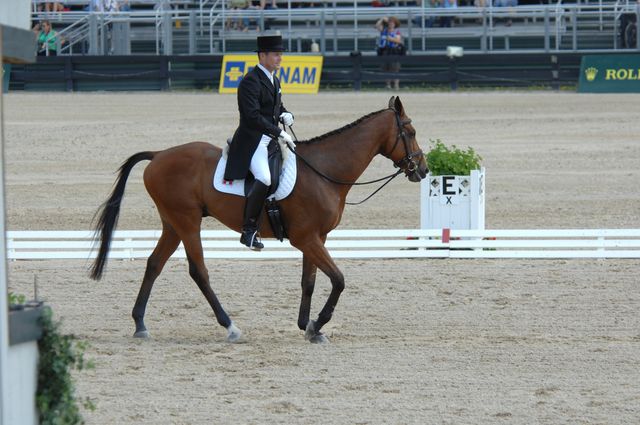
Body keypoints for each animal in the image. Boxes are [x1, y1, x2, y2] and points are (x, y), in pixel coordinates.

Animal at [90, 95, 428, 342]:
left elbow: (309, 281)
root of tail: (159, 154)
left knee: (154, 264)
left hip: (172, 223)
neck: (324, 170)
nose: (422, 170)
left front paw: (307, 326)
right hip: (187, 221)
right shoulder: (306, 238)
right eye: (410, 132)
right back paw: (230, 326)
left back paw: (140, 324)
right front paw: (318, 323)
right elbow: (338, 279)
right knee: (199, 271)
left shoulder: (316, 238)